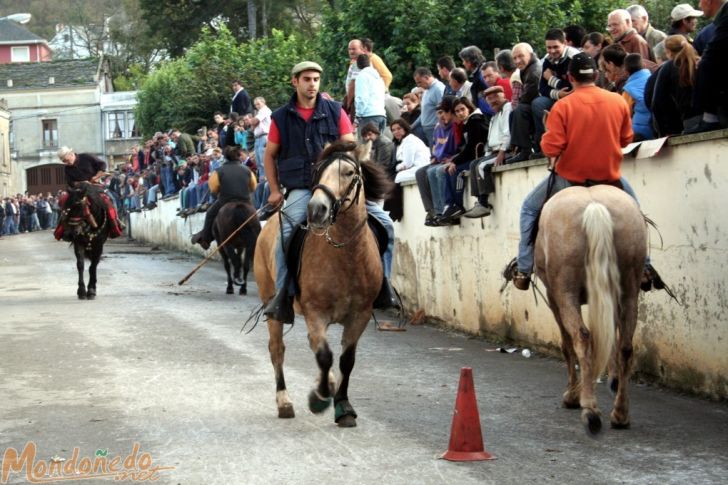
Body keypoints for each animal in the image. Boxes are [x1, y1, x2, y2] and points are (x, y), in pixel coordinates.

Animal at [255, 140, 392, 428]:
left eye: (349, 173)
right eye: (318, 172)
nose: (317, 209)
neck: (346, 254)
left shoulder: (360, 314)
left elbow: (345, 360)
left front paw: (343, 406)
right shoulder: (315, 312)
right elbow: (325, 356)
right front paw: (318, 398)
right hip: (271, 302)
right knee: (277, 349)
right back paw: (284, 401)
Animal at [536, 185, 648, 434]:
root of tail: (595, 206)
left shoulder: (553, 296)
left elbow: (566, 345)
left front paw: (572, 395)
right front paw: (613, 380)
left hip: (565, 292)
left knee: (581, 338)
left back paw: (589, 410)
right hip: (629, 289)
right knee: (625, 347)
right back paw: (620, 414)